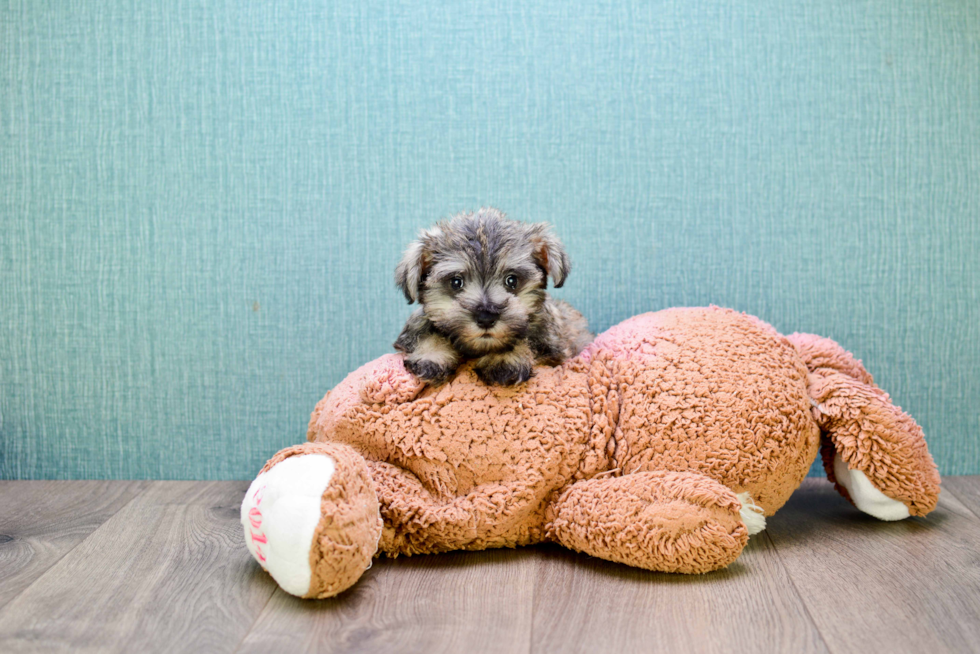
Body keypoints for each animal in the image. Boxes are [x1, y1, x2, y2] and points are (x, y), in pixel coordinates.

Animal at [394, 208, 592, 386]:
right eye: (456, 282)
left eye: (512, 280)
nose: (486, 318)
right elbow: (429, 332)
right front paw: (431, 355)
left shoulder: (553, 350)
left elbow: (522, 340)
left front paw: (503, 359)